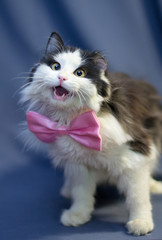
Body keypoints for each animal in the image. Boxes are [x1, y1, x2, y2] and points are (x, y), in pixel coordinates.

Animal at [20, 32, 162, 236]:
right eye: (56, 66)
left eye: (80, 73)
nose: (61, 77)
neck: (74, 120)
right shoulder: (79, 164)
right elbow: (82, 194)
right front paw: (77, 215)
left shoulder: (135, 156)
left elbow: (137, 197)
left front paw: (140, 222)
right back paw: (67, 189)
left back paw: (154, 186)